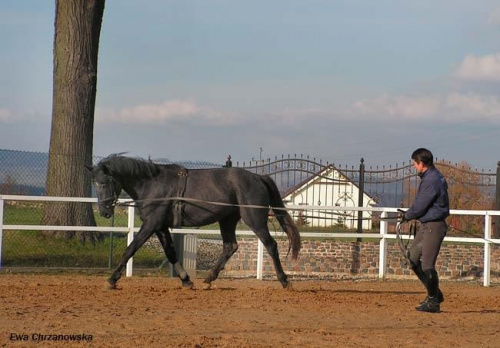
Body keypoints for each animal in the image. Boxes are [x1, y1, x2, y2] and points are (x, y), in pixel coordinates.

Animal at [85, 156, 300, 290]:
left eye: (105, 182)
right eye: (94, 182)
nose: (104, 211)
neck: (152, 184)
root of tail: (259, 177)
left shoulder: (151, 224)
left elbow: (130, 249)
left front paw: (111, 280)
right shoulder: (160, 226)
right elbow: (170, 253)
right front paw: (186, 280)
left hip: (254, 219)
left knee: (270, 245)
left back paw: (284, 281)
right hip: (227, 220)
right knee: (230, 246)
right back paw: (208, 279)